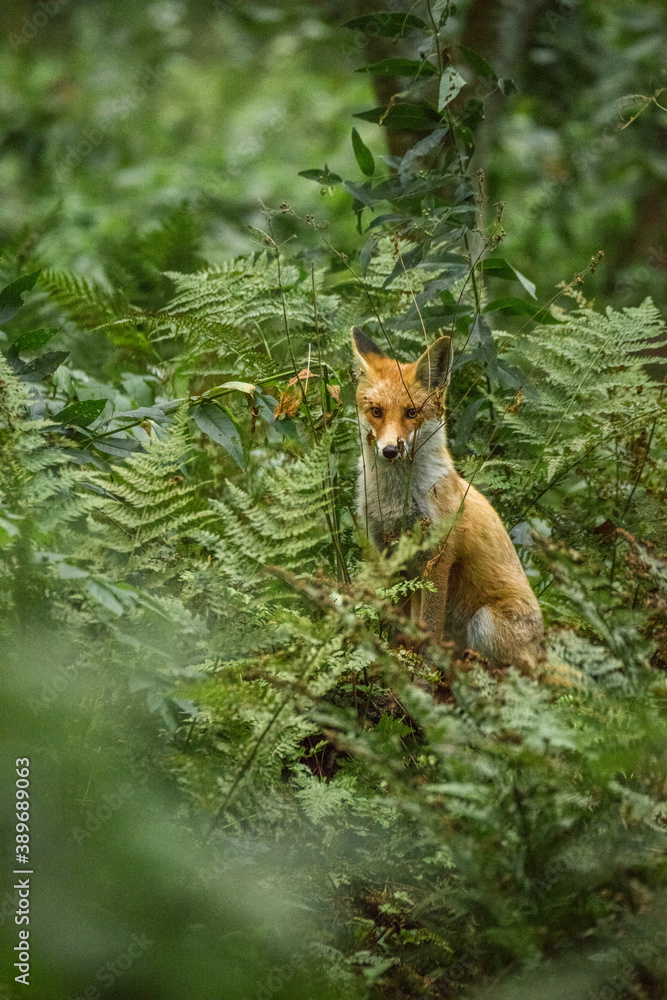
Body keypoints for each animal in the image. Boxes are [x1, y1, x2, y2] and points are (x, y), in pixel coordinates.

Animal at [352, 326, 545, 674]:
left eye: (411, 413)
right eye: (376, 412)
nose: (390, 451)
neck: (396, 500)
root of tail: (544, 655)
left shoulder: (437, 556)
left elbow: (429, 625)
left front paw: (422, 668)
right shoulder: (388, 553)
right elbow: (400, 619)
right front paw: (395, 654)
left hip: (486, 622)